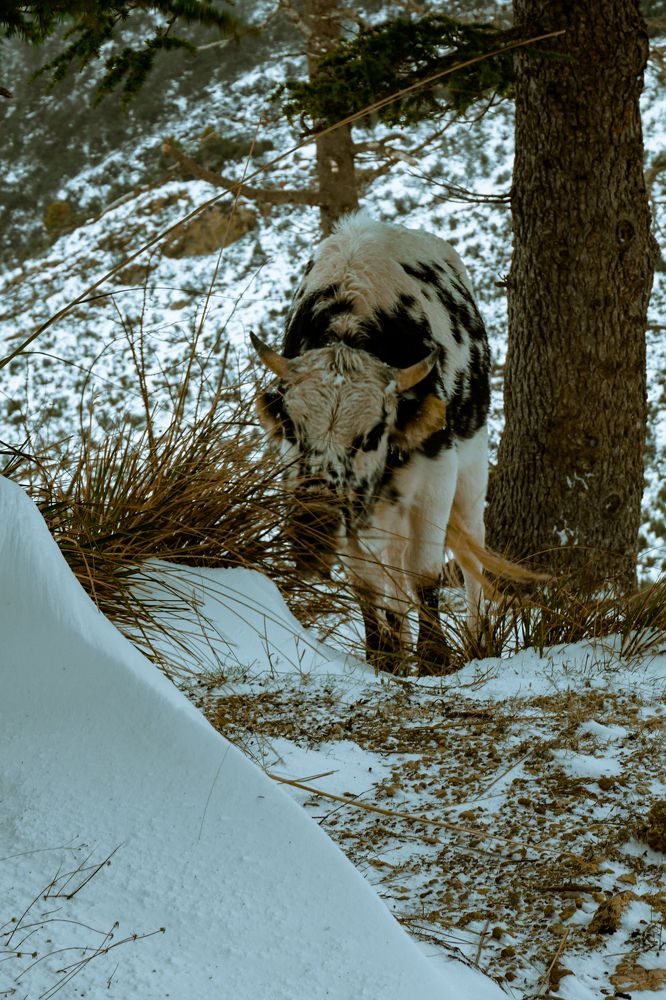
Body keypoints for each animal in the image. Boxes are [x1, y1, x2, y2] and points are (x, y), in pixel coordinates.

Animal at [251, 213, 491, 674]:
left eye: (372, 433)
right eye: (291, 426)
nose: (313, 524)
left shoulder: (436, 473)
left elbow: (423, 570)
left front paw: (434, 658)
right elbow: (366, 581)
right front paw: (383, 656)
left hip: (472, 466)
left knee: (472, 551)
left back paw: (481, 639)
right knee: (390, 570)